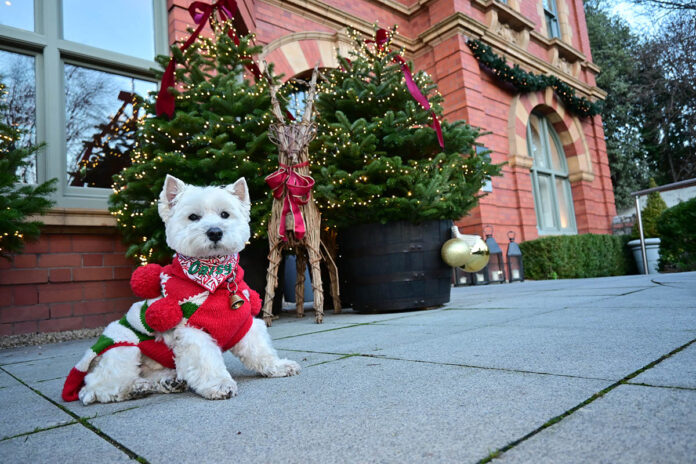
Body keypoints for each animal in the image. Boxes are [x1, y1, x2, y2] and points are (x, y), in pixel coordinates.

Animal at [65, 176, 302, 404]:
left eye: (225, 214)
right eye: (193, 217)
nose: (215, 232)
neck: (214, 278)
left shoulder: (244, 324)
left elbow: (260, 350)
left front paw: (278, 366)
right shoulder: (192, 332)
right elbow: (206, 361)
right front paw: (219, 385)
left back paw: (165, 382)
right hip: (123, 348)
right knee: (96, 387)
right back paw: (133, 389)